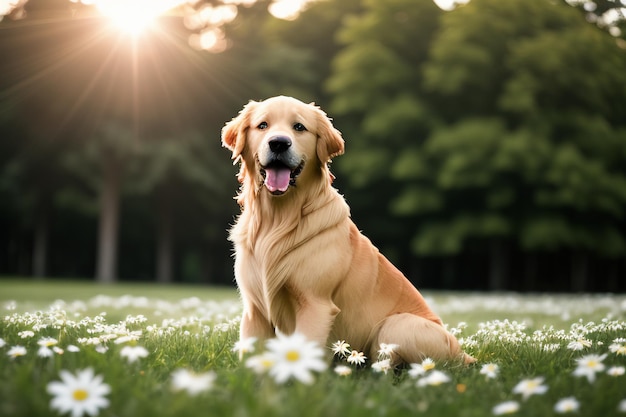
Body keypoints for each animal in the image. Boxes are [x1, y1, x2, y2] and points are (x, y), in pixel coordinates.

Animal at [222, 95, 470, 364]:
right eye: (263, 125)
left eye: (299, 127)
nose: (279, 143)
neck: (277, 220)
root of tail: (464, 354)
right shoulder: (254, 309)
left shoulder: (315, 304)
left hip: (396, 325)